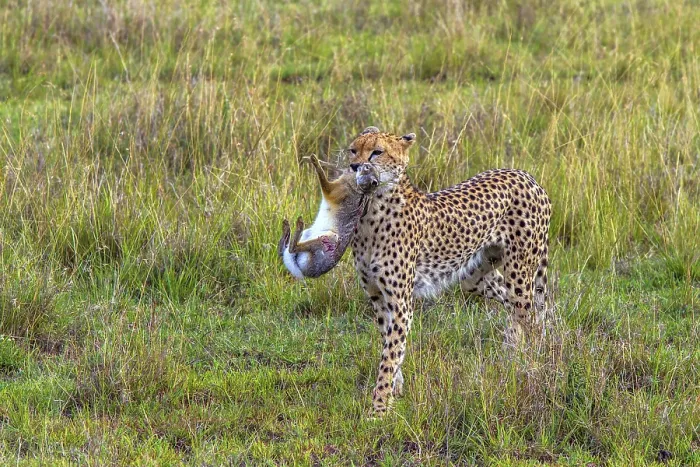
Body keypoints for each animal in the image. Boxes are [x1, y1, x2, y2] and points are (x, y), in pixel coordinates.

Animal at [347, 126, 551, 416]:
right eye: (353, 150)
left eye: (377, 152)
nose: (355, 166)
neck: (374, 209)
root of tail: (526, 175)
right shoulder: (378, 298)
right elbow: (390, 344)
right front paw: (395, 390)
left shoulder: (401, 304)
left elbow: (389, 356)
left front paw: (378, 410)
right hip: (473, 276)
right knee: (513, 305)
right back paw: (511, 355)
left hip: (520, 272)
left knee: (531, 316)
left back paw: (532, 366)